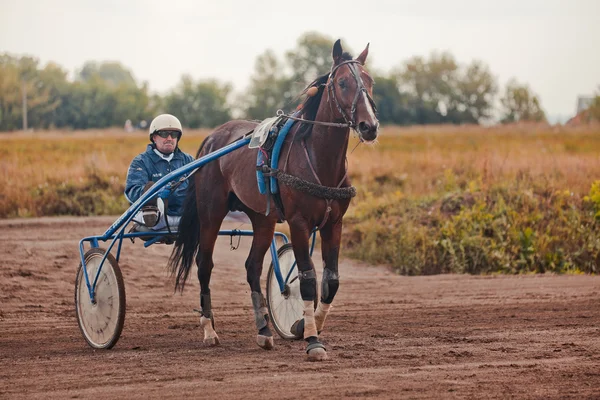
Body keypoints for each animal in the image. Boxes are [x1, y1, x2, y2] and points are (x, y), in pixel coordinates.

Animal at [166, 39, 378, 360]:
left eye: (370, 81)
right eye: (342, 82)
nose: (370, 126)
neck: (320, 161)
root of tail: (213, 139)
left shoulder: (334, 223)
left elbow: (331, 280)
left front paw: (304, 325)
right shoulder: (299, 223)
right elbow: (307, 279)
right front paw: (313, 340)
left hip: (262, 219)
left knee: (252, 267)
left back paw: (264, 331)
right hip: (211, 212)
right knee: (205, 264)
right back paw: (209, 330)